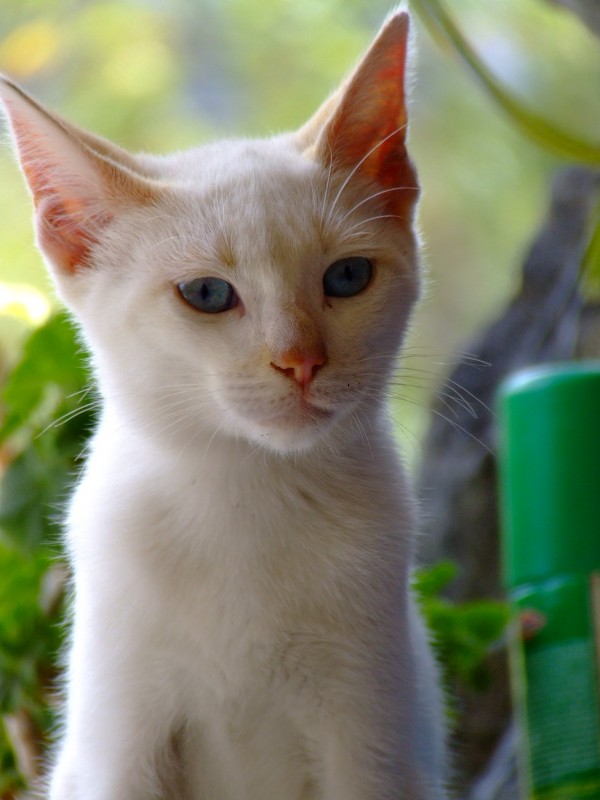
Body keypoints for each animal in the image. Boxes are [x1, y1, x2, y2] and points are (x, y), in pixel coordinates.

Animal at [0, 7, 448, 800]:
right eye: (207, 294)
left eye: (348, 277)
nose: (301, 362)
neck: (246, 495)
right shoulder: (118, 753)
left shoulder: (372, 752)